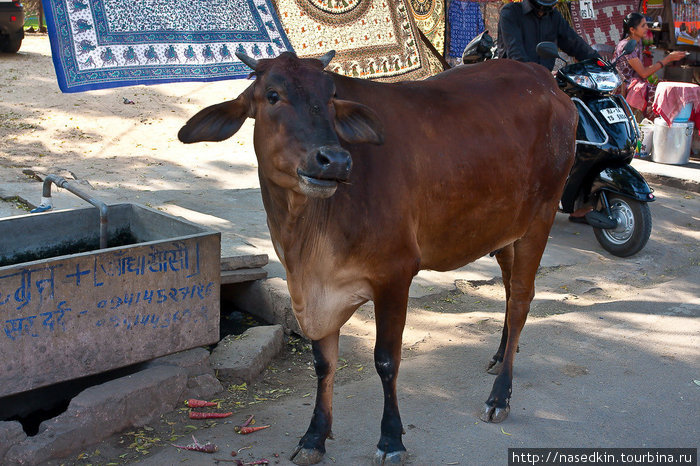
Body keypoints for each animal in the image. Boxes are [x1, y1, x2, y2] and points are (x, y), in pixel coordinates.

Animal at [178, 52, 576, 466]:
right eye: (272, 95)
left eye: (332, 96)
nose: (335, 160)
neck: (303, 238)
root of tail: (545, 80)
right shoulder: (313, 290)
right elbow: (323, 363)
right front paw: (314, 436)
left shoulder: (395, 275)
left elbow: (386, 360)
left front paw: (390, 439)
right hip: (506, 232)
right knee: (511, 291)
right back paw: (501, 356)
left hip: (541, 218)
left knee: (521, 301)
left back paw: (500, 396)